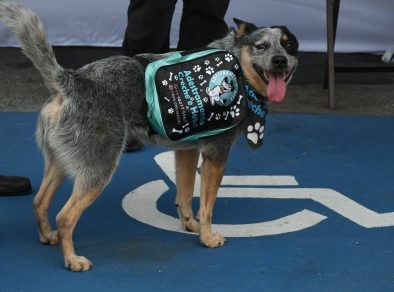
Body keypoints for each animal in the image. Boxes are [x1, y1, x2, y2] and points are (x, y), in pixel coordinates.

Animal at [0, 1, 298, 272]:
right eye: (261, 46)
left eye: (289, 46)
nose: (280, 60)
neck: (235, 63)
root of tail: (71, 80)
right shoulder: (216, 156)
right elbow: (207, 206)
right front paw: (207, 237)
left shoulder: (187, 150)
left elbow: (185, 196)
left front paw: (190, 225)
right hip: (99, 169)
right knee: (65, 217)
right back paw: (72, 260)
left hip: (62, 163)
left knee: (39, 201)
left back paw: (47, 236)